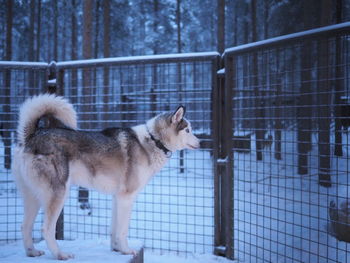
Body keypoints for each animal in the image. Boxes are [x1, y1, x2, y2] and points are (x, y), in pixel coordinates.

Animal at [13, 94, 200, 260]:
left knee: (24, 226)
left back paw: (32, 252)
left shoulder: (117, 198)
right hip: (59, 195)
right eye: (188, 130)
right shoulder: (126, 198)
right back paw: (60, 255)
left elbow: (114, 230)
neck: (154, 140)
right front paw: (127, 250)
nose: (200, 143)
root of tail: (31, 136)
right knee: (46, 229)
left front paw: (118, 250)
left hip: (33, 198)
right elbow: (123, 230)